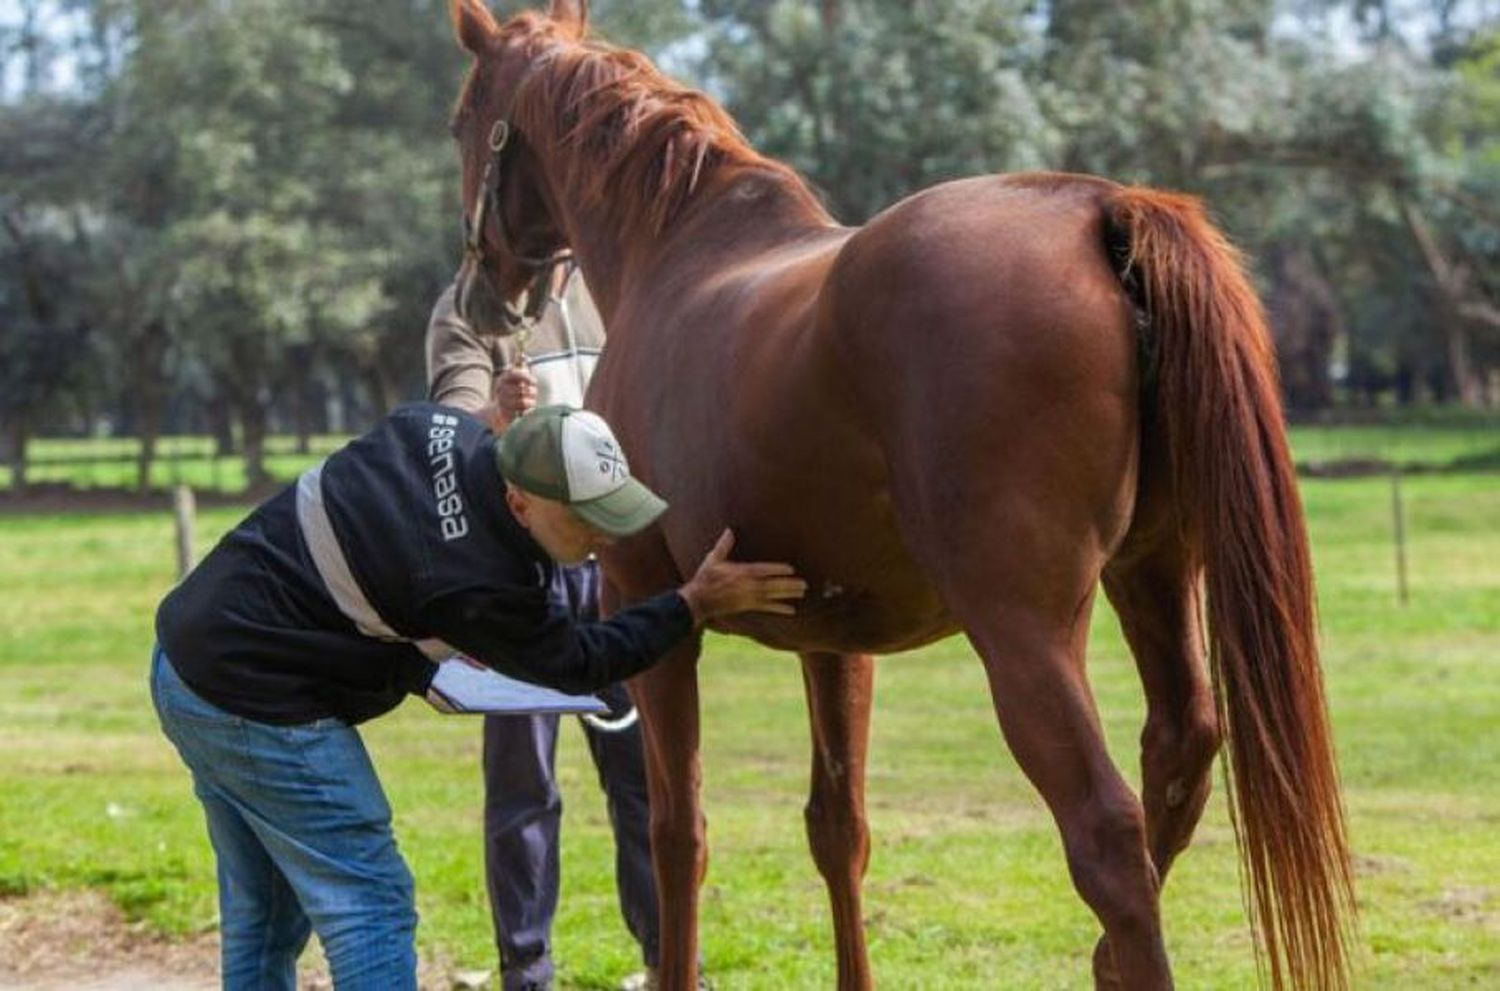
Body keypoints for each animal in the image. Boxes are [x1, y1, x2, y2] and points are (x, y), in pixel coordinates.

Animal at [444, 3, 1362, 983]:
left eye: (464, 119)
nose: (480, 296)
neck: (679, 253)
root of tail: (1099, 211)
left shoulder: (646, 601)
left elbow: (677, 832)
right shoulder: (834, 641)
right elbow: (837, 828)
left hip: (1024, 630)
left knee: (1108, 835)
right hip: (1152, 573)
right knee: (1178, 755)